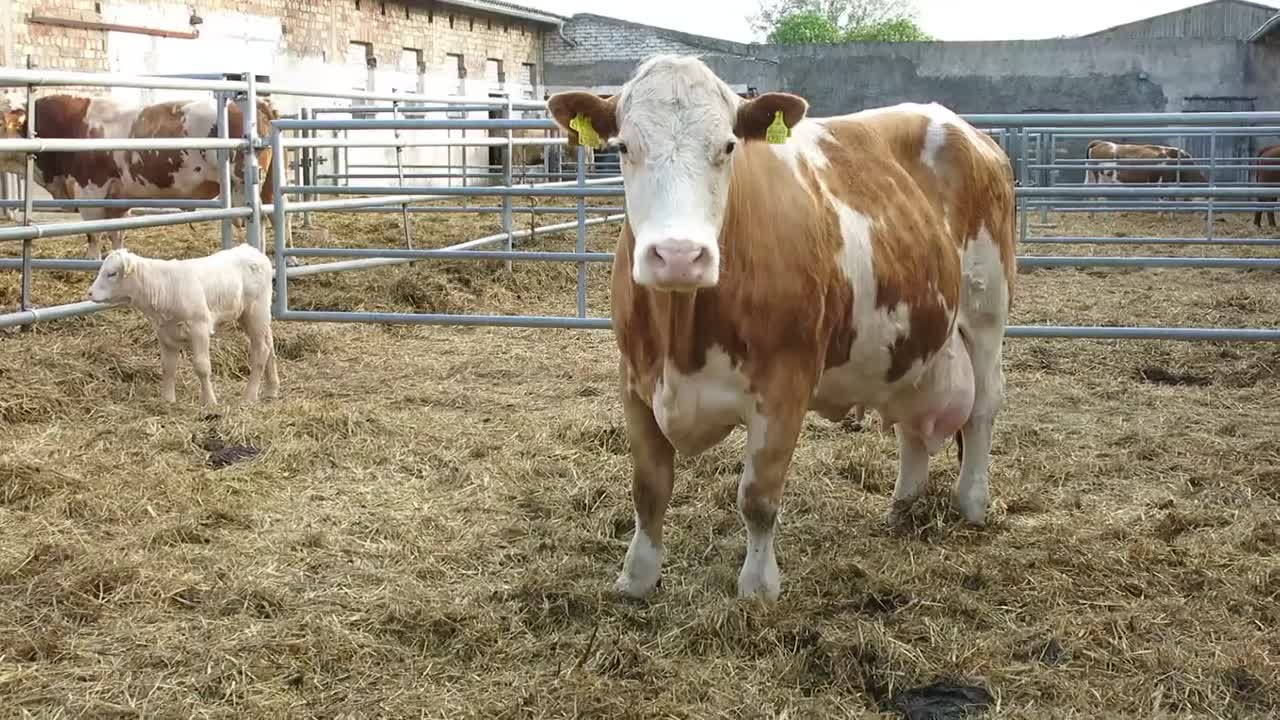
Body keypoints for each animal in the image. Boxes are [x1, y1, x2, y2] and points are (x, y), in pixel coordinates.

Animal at [0, 94, 289, 257]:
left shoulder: (90, 193)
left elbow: (93, 237)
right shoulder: (118, 201)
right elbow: (116, 236)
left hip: (242, 183)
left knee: (259, 221)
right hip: (268, 184)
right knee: (276, 215)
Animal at [88, 240, 281, 404]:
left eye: (111, 273)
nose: (89, 293)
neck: (165, 287)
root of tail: (253, 250)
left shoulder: (200, 328)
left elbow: (202, 366)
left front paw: (209, 401)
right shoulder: (165, 333)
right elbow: (167, 367)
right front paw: (167, 400)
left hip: (256, 312)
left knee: (261, 349)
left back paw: (249, 396)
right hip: (252, 317)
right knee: (269, 343)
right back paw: (271, 390)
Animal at [545, 53, 1013, 597]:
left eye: (728, 145)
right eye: (623, 146)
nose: (679, 255)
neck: (681, 336)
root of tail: (964, 128)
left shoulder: (786, 385)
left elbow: (758, 496)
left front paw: (758, 586)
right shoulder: (636, 381)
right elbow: (648, 488)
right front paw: (637, 577)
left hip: (987, 311)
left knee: (983, 407)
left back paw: (972, 502)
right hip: (917, 334)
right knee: (912, 418)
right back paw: (901, 508)